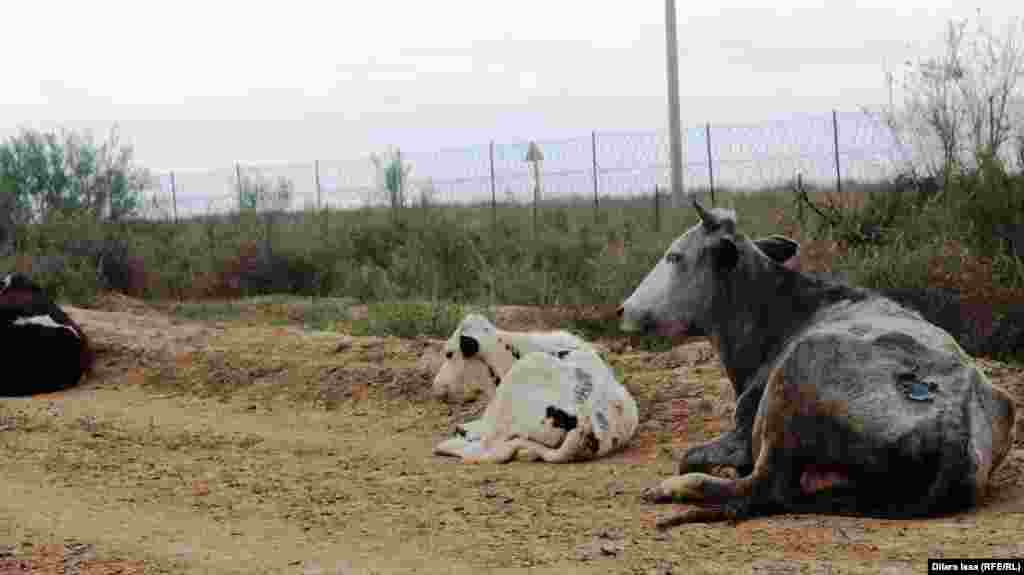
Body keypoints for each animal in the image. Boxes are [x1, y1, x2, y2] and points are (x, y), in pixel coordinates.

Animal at [430, 313, 634, 460]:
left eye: (449, 354)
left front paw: (465, 430)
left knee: (486, 451)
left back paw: (448, 444)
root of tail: (587, 422)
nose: (436, 386)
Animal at [614, 199, 1015, 527]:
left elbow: (692, 455)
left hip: (793, 380)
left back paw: (673, 488)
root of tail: (956, 421)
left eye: (675, 256)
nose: (622, 309)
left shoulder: (743, 430)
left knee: (761, 487)